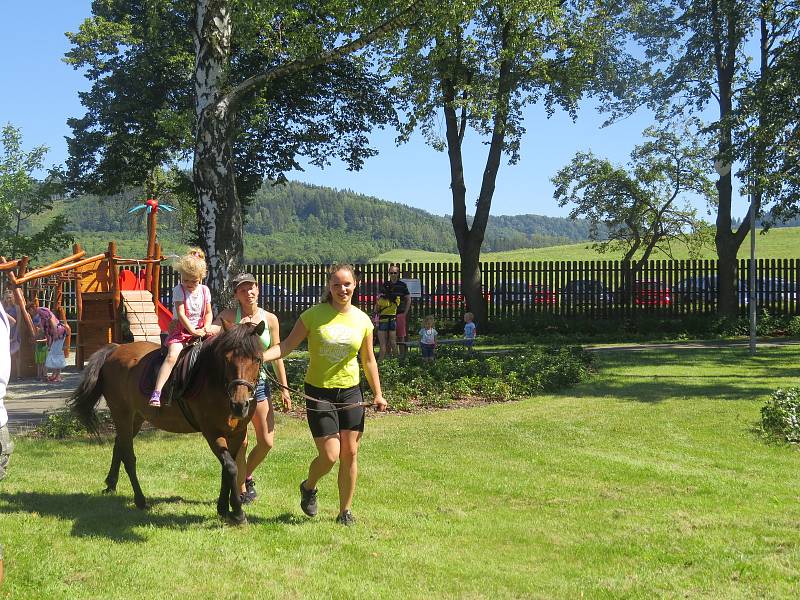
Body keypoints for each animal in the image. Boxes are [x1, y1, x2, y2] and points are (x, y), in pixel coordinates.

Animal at [69, 322, 262, 524]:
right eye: (226, 359)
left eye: (257, 359)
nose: (240, 404)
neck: (215, 381)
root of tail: (116, 349)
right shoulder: (212, 432)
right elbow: (231, 467)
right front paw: (237, 513)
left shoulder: (237, 433)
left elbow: (228, 468)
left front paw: (224, 508)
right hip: (122, 414)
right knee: (129, 457)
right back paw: (140, 499)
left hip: (136, 418)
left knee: (118, 446)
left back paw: (111, 485)